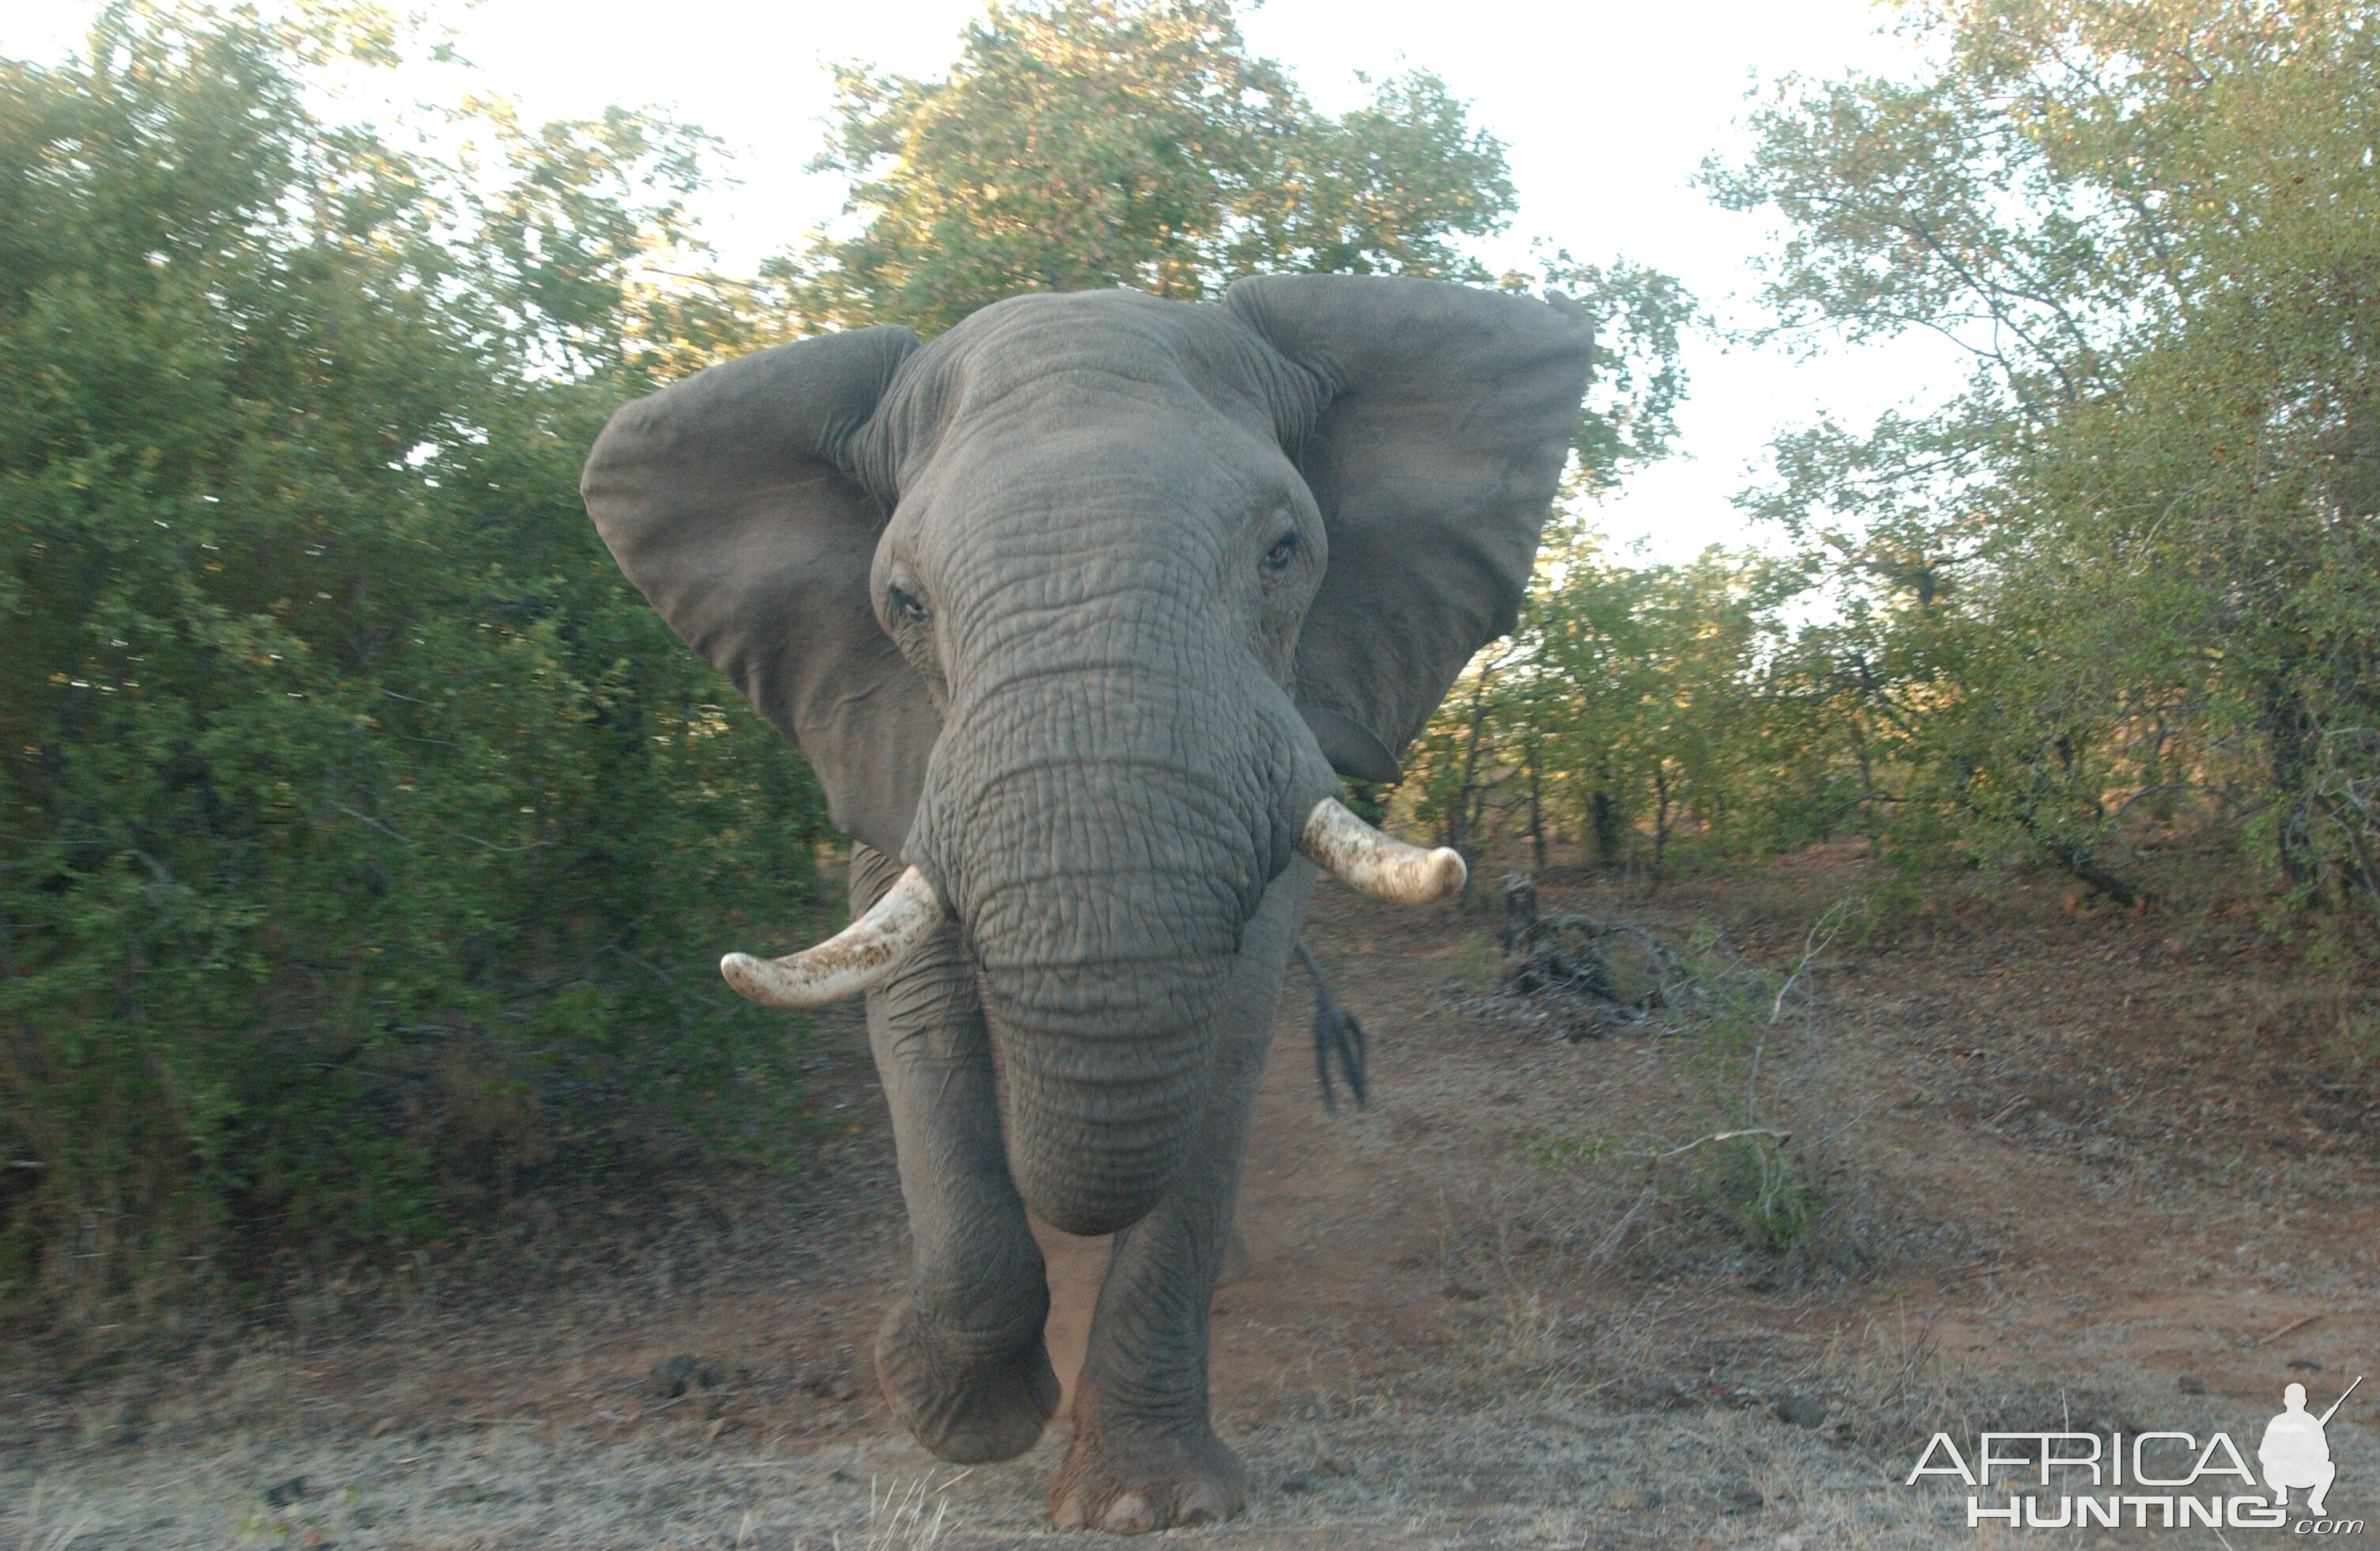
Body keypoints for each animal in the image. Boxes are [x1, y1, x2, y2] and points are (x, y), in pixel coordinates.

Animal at [578, 272, 1590, 1531]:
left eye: (1285, 552)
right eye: (902, 602)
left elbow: (1229, 1035)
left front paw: (1148, 1507)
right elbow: (916, 1014)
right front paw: (952, 1413)